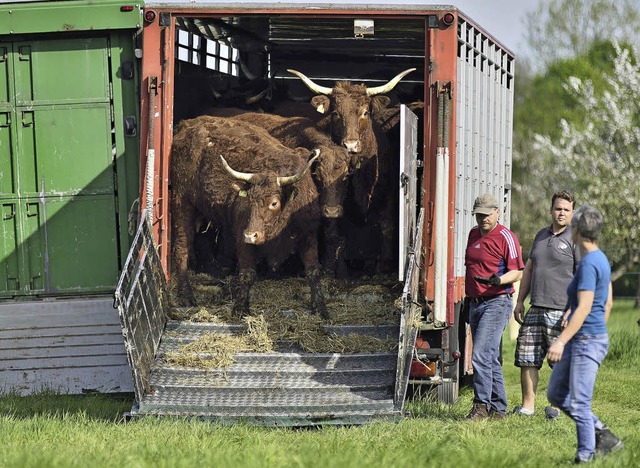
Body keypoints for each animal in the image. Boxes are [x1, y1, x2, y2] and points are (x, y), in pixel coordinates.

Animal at [170, 115, 324, 316]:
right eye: (248, 200)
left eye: (274, 203)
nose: (251, 235)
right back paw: (186, 295)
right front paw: (240, 308)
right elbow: (247, 273)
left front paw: (320, 308)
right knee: (182, 247)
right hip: (182, 202)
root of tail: (187, 126)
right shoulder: (243, 237)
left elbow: (313, 271)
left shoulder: (309, 235)